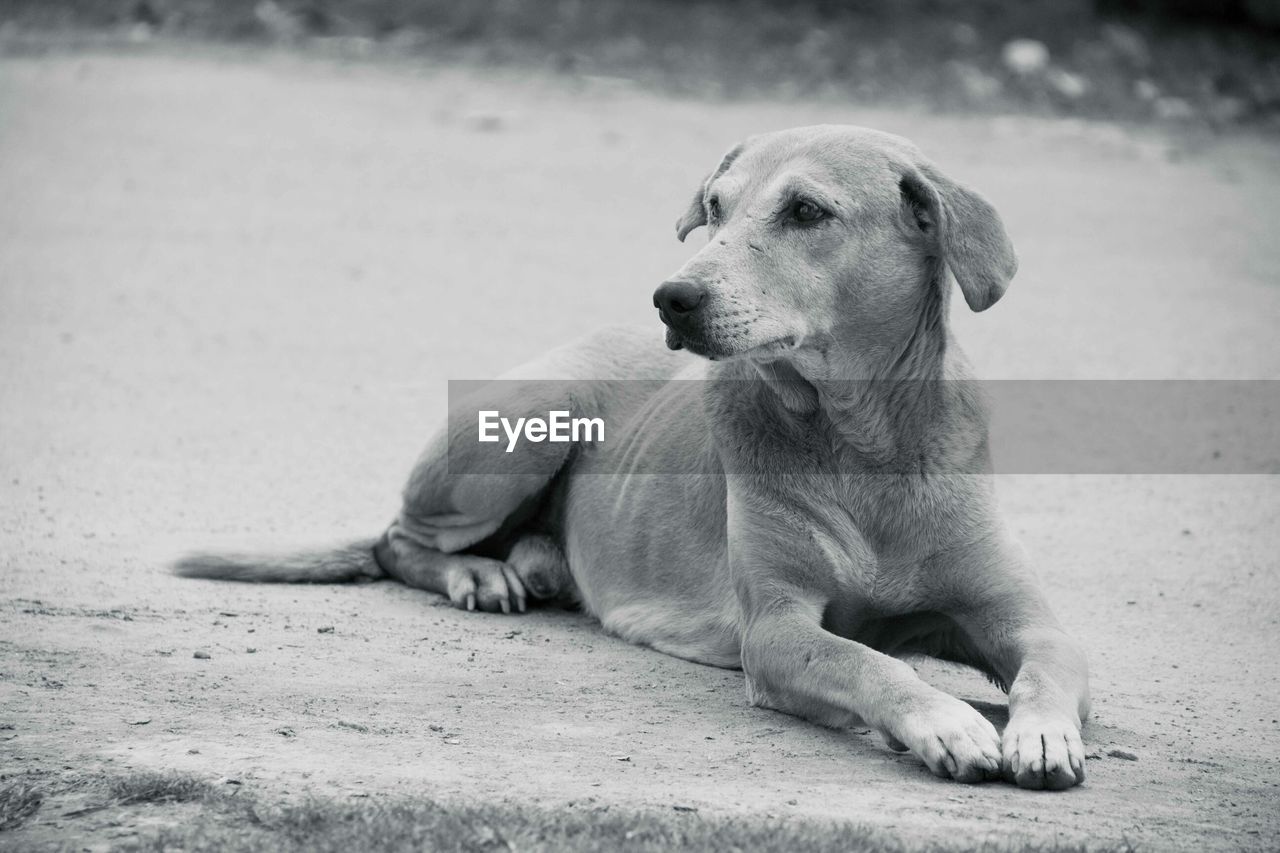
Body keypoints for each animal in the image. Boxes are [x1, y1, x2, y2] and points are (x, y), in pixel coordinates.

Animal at [177, 126, 1090, 788]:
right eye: (716, 206)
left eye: (805, 211)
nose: (672, 296)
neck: (862, 438)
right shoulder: (778, 632)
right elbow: (868, 662)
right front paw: (947, 719)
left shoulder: (1022, 617)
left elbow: (1050, 665)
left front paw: (1041, 733)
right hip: (535, 414)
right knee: (397, 540)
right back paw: (480, 571)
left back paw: (536, 560)